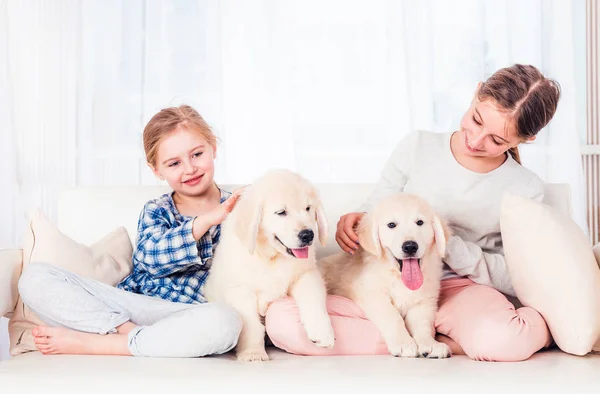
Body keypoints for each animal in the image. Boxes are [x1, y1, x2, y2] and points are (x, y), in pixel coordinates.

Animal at [204, 169, 336, 360]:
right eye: (281, 212)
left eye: (308, 209)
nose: (308, 235)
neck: (271, 258)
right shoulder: (240, 290)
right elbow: (251, 324)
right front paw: (252, 352)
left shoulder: (306, 274)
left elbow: (313, 297)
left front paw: (323, 333)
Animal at [318, 192, 450, 358]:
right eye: (391, 225)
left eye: (420, 222)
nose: (410, 246)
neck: (397, 277)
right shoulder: (373, 294)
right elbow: (393, 316)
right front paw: (403, 343)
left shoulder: (424, 302)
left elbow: (423, 324)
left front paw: (430, 343)